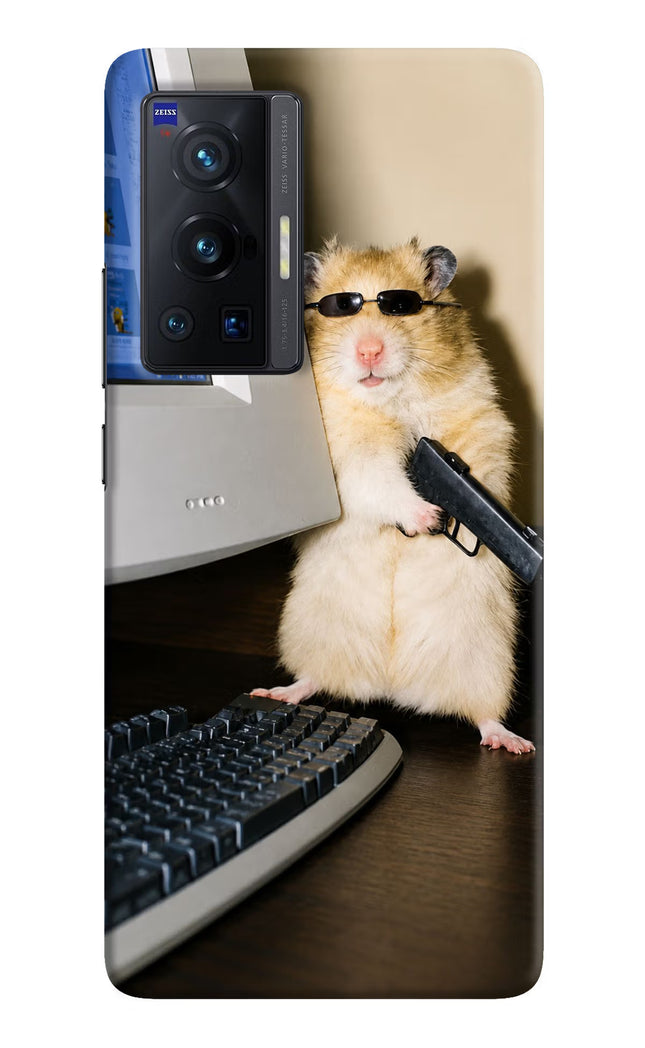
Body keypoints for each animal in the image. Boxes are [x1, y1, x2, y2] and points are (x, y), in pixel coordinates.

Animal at [252, 238, 534, 754]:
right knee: (313, 678)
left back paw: (512, 742)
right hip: (311, 632)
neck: (389, 401)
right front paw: (428, 518)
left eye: (401, 306)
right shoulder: (348, 458)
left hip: (488, 660)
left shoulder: (481, 423)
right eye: (340, 307)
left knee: (483, 714)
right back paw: (277, 692)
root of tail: (393, 686)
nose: (369, 351)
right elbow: (380, 481)